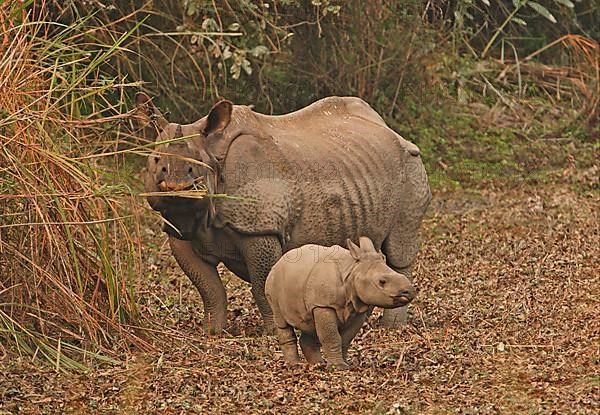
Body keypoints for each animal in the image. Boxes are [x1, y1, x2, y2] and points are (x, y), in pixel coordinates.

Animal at [264, 236, 414, 368]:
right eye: (382, 282)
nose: (409, 291)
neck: (353, 270)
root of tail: (279, 261)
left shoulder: (358, 308)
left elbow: (346, 338)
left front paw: (345, 364)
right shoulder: (323, 305)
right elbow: (332, 336)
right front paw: (338, 367)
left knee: (310, 323)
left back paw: (318, 364)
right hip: (272, 282)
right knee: (282, 321)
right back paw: (294, 365)